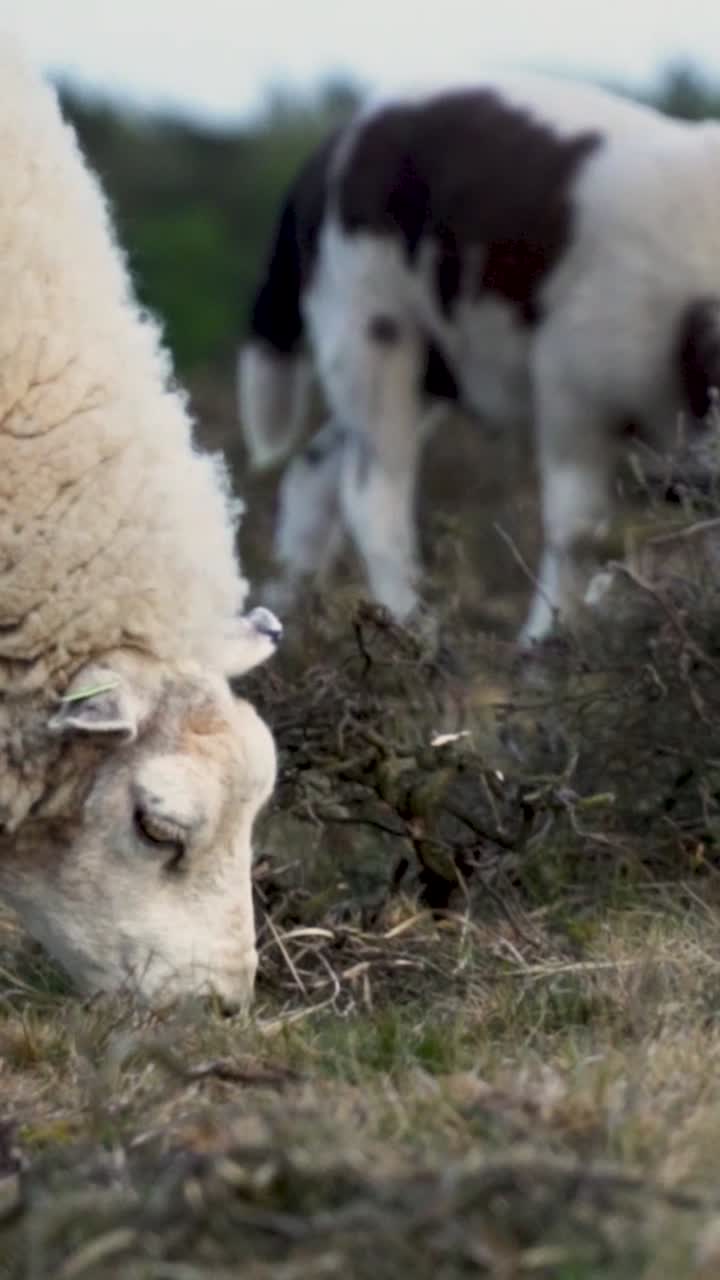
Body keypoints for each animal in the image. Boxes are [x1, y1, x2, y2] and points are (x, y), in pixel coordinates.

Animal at [238, 74, 720, 645]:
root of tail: (323, 155)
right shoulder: (571, 385)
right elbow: (576, 527)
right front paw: (544, 647)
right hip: (367, 323)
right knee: (372, 493)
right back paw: (414, 633)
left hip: (430, 367)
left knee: (312, 474)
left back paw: (284, 620)